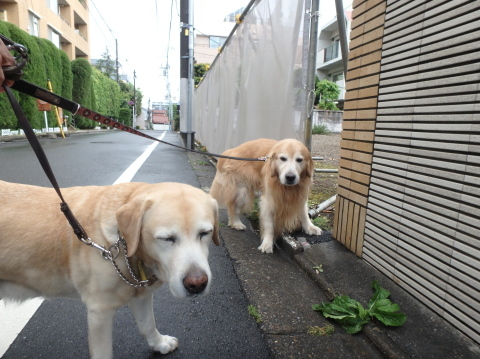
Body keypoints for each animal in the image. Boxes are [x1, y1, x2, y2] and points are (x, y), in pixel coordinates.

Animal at [0, 181, 219, 359]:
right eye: (166, 238)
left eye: (205, 233)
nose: (197, 284)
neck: (123, 245)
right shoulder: (99, 312)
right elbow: (103, 352)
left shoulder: (141, 293)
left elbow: (147, 324)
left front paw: (159, 344)